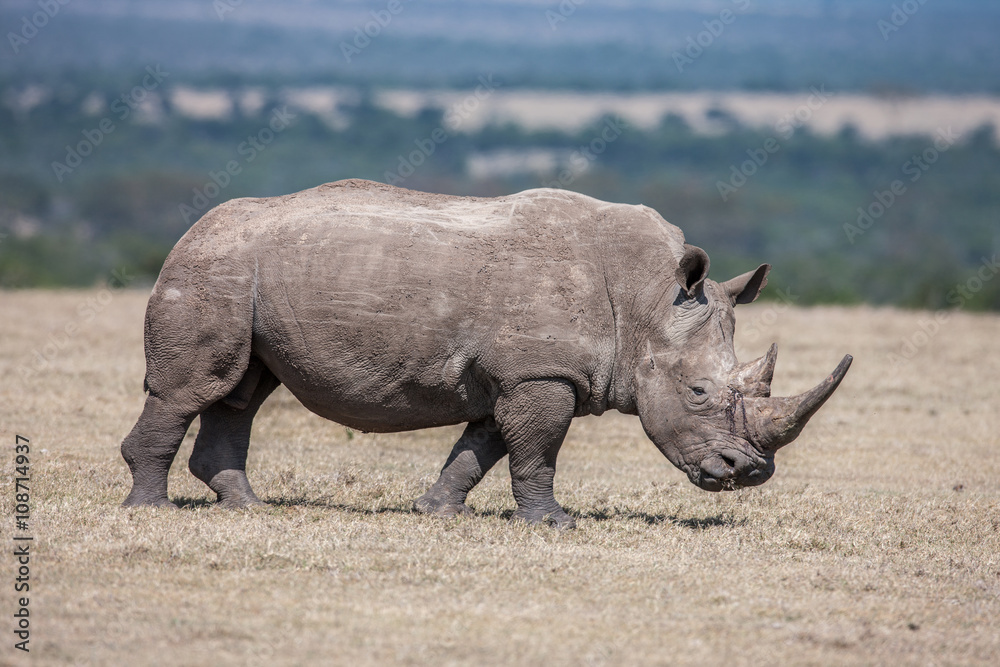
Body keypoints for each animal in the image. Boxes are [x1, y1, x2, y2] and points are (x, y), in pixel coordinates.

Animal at [120, 179, 851, 528]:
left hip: (246, 273)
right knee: (194, 389)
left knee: (242, 390)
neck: (649, 300)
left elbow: (483, 446)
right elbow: (536, 450)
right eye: (698, 392)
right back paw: (152, 511)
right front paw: (554, 525)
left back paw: (247, 507)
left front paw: (437, 511)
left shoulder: (519, 374)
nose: (748, 473)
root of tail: (193, 227)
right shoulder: (542, 373)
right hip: (212, 265)